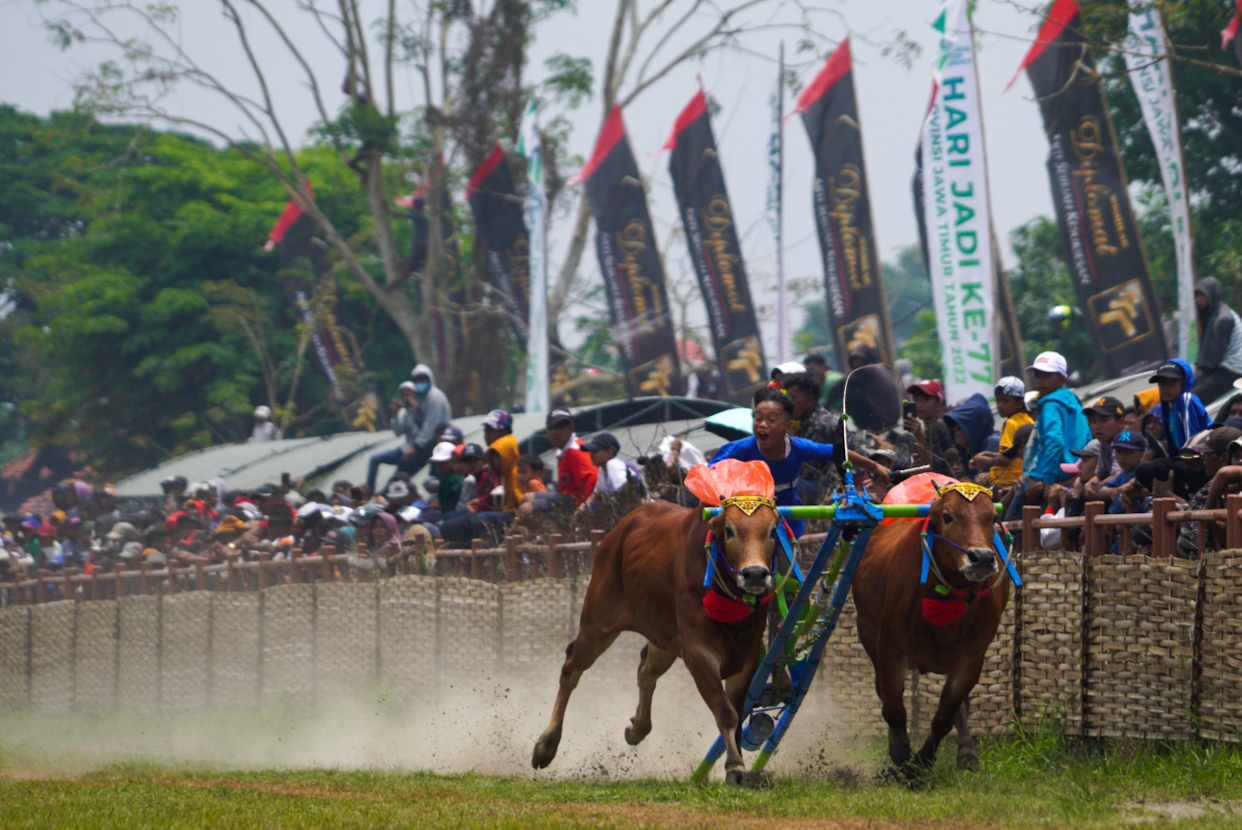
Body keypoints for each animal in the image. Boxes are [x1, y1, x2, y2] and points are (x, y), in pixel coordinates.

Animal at [531, 487, 775, 785]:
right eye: (729, 530)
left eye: (772, 530)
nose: (756, 574)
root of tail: (618, 532)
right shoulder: (699, 654)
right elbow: (726, 712)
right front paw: (736, 768)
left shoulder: (748, 656)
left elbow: (738, 714)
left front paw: (737, 765)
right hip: (597, 623)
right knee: (571, 668)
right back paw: (545, 746)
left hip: (664, 640)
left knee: (646, 670)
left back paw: (637, 728)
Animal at [849, 482, 1013, 775]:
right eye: (947, 516)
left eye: (992, 517)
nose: (982, 558)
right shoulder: (889, 650)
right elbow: (893, 708)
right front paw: (900, 750)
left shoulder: (971, 662)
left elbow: (944, 717)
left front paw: (923, 761)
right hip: (868, 631)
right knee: (884, 694)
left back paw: (967, 750)